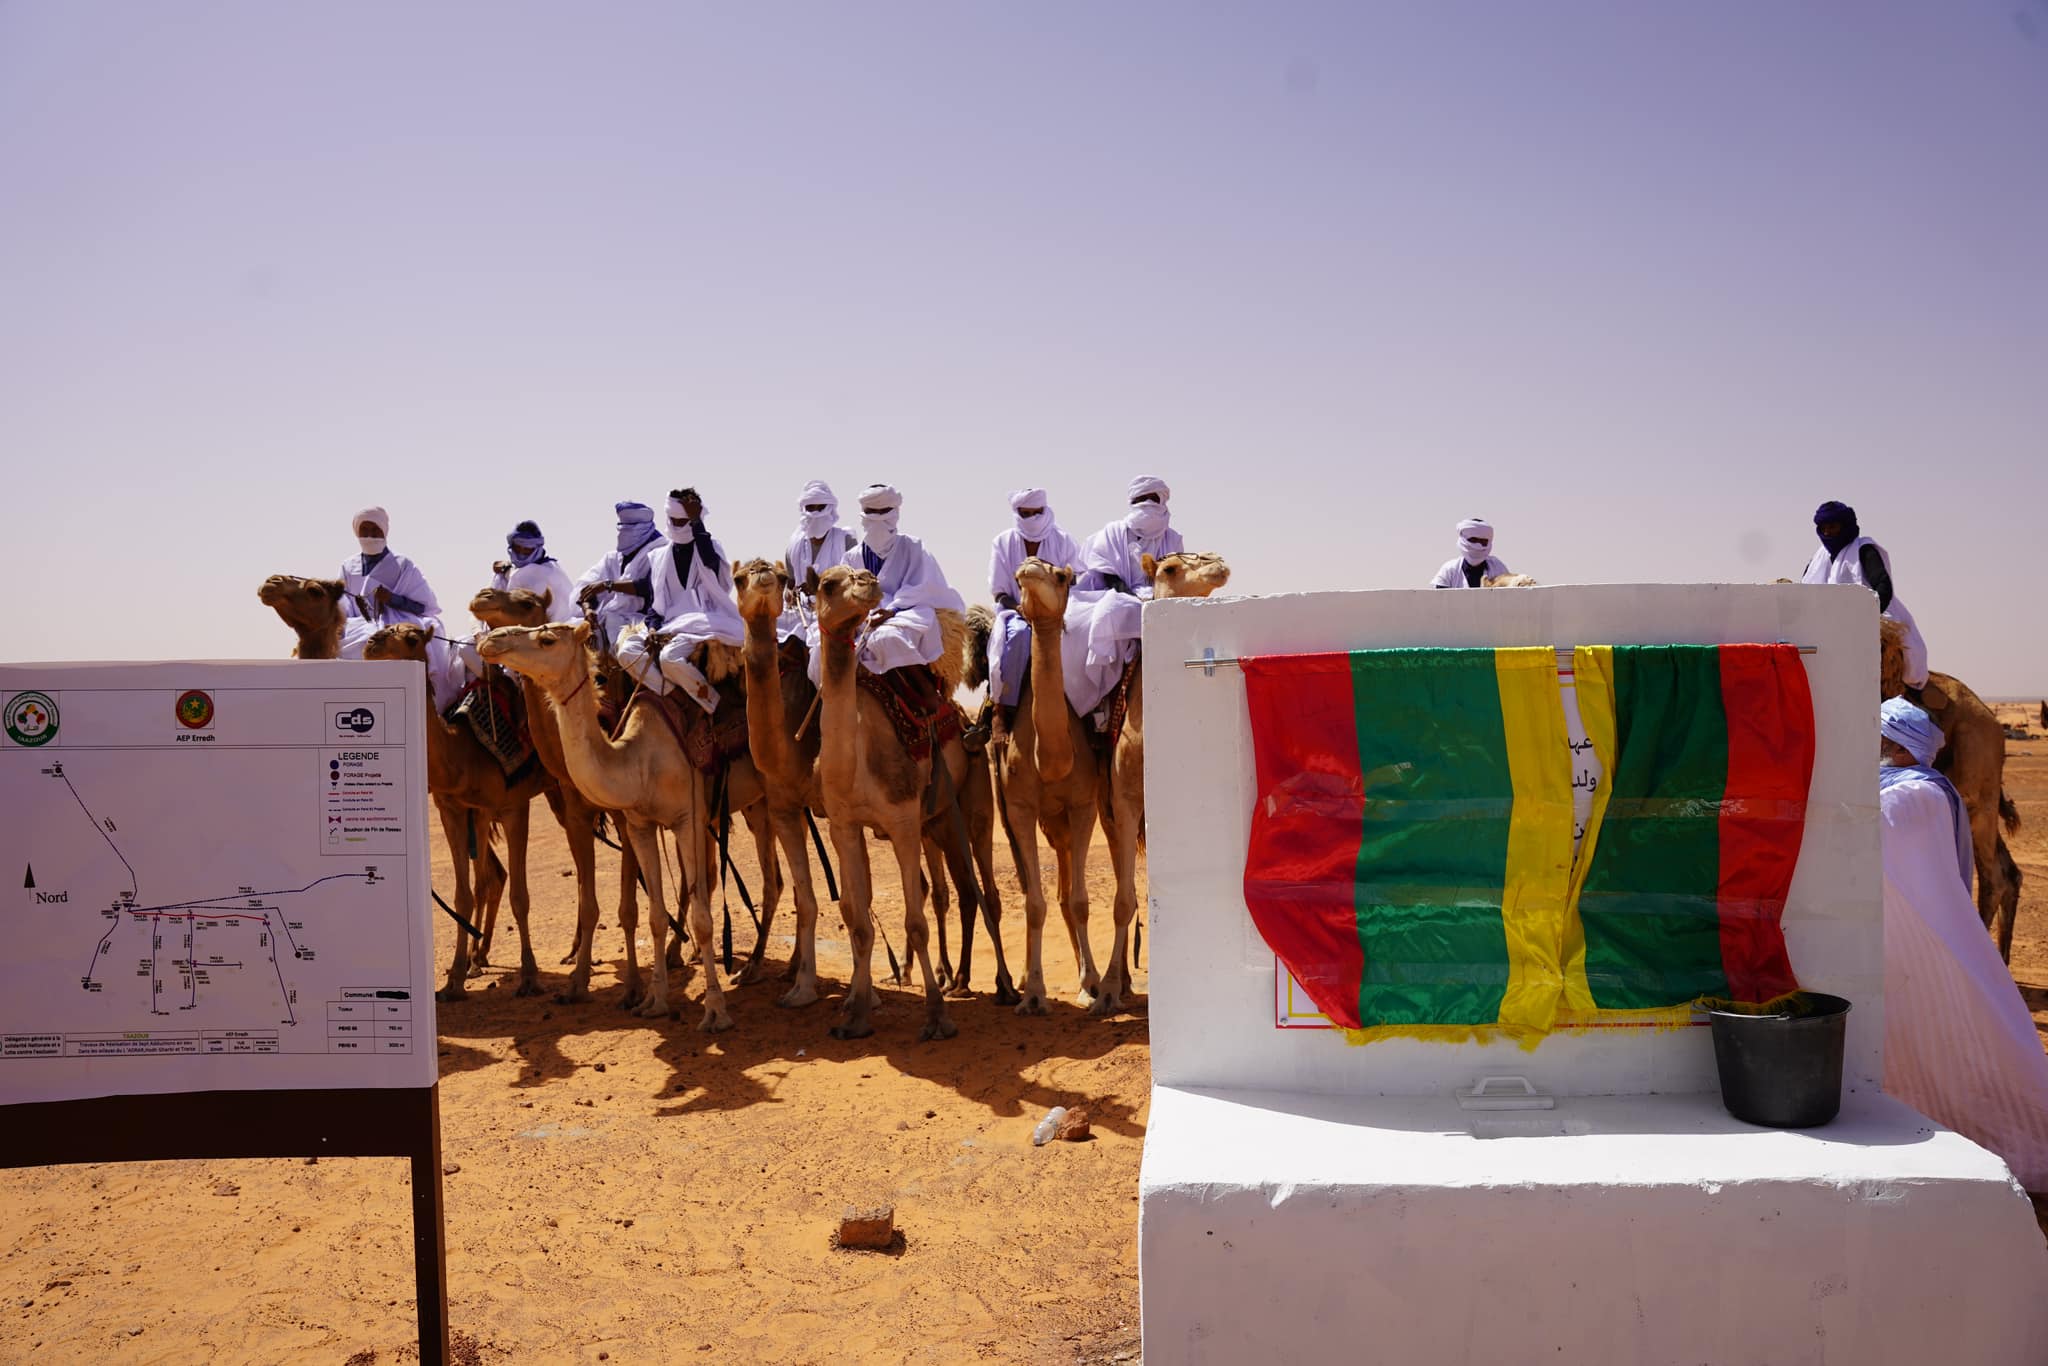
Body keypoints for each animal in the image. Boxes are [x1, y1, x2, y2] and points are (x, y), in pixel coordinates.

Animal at [360, 626, 552, 999]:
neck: (463, 753)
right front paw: (454, 980)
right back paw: (479, 957)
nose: (372, 643)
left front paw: (530, 976)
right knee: (492, 878)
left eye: (412, 637)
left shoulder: (513, 806)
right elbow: (463, 895)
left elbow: (520, 896)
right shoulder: (453, 809)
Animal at [477, 614, 774, 1032]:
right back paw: (756, 968)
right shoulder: (640, 825)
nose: (491, 641)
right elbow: (654, 916)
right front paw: (654, 1001)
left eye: (548, 639)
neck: (639, 762)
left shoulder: (687, 819)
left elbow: (701, 918)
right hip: (755, 803)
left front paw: (715, 1011)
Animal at [970, 557, 1114, 1015]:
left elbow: (1080, 902)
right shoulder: (1019, 807)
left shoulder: (1083, 804)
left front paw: (1093, 985)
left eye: (1064, 575)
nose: (1032, 567)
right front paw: (1033, 993)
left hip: (1063, 821)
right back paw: (1018, 980)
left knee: (1068, 892)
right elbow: (1033, 902)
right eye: (1020, 574)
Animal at [1089, 552, 1228, 1015]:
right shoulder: (1126, 802)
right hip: (1109, 815)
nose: (1218, 564)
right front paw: (1107, 991)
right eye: (1169, 569)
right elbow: (1123, 901)